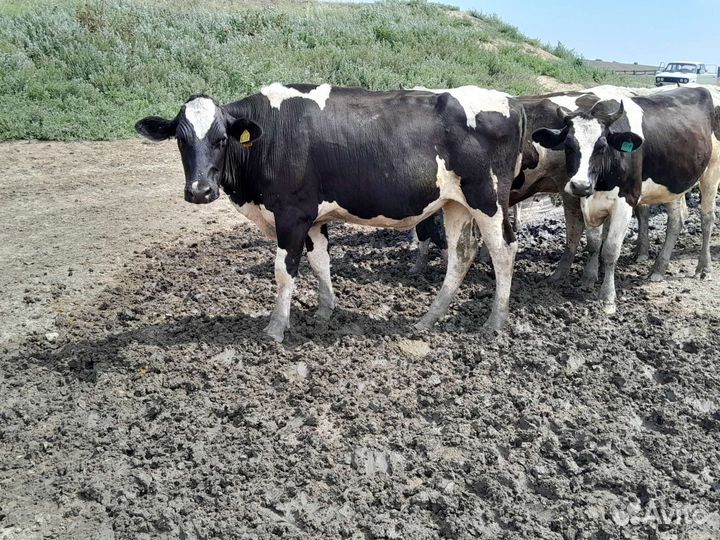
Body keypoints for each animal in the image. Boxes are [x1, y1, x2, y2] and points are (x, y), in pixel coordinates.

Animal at [135, 84, 525, 342]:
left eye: (220, 139)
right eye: (181, 140)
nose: (200, 190)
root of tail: (511, 100)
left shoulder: (291, 214)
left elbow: (284, 270)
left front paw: (276, 327)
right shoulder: (313, 217)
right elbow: (320, 261)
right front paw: (324, 311)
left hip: (488, 198)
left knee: (503, 250)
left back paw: (495, 322)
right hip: (455, 203)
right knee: (461, 255)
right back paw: (429, 319)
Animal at [532, 86, 720, 313]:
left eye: (601, 145)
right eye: (568, 145)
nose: (580, 185)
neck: (601, 183)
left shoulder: (625, 202)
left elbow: (611, 249)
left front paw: (607, 297)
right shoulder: (588, 202)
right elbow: (594, 243)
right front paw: (588, 279)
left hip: (712, 170)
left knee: (707, 218)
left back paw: (703, 268)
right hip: (674, 182)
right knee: (677, 220)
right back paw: (658, 269)